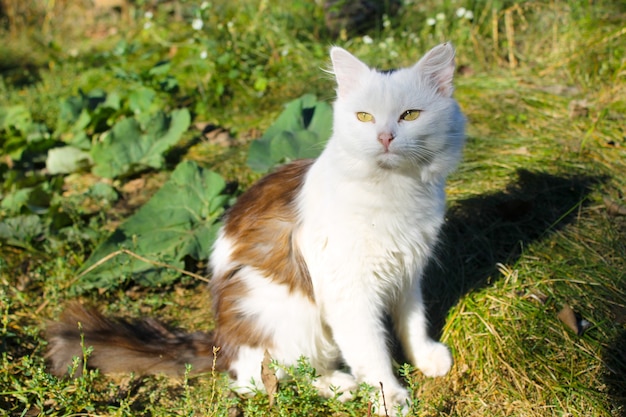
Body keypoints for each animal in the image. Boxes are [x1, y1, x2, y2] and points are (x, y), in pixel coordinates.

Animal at [46, 44, 464, 414]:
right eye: (364, 117)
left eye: (410, 115)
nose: (385, 137)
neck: (396, 192)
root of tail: (220, 341)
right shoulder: (349, 291)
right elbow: (373, 354)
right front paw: (389, 398)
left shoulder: (407, 269)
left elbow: (412, 322)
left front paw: (426, 358)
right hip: (280, 315)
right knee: (263, 379)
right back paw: (338, 386)